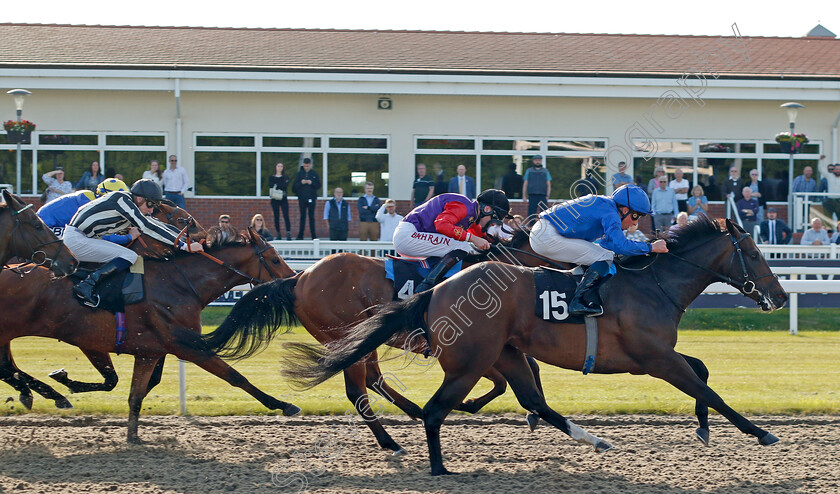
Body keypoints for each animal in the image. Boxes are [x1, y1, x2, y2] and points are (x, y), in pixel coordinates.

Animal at [0, 201, 208, 410]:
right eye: (184, 221)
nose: (205, 239)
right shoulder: (90, 338)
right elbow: (112, 379)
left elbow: (150, 377)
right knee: (6, 367)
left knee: (7, 366)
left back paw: (34, 392)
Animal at [0, 226, 300, 442]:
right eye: (275, 259)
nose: (293, 280)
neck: (179, 284)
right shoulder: (188, 347)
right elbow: (235, 376)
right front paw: (284, 405)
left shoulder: (150, 351)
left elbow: (136, 392)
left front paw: (133, 436)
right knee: (7, 369)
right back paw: (45, 393)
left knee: (8, 368)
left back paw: (41, 392)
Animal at [203, 230, 556, 454]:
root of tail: (300, 277)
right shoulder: (471, 346)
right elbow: (504, 379)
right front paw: (473, 405)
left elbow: (526, 369)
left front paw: (532, 412)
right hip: (345, 334)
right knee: (358, 390)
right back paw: (391, 441)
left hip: (358, 339)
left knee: (373, 380)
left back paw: (413, 412)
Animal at [286, 219, 792, 474]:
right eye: (755, 252)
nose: (782, 296)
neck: (652, 284)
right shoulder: (654, 358)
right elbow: (709, 388)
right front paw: (760, 432)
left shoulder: (654, 356)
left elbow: (702, 371)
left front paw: (703, 429)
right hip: (470, 361)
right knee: (422, 406)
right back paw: (436, 466)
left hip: (503, 352)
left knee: (530, 398)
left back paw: (594, 439)